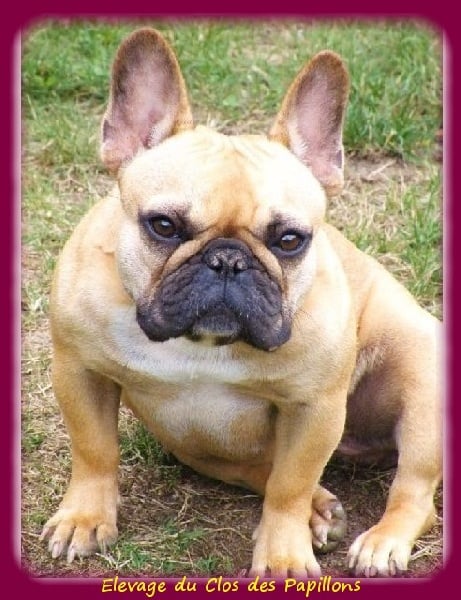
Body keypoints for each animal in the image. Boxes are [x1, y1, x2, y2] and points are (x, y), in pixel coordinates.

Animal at [40, 28, 442, 578]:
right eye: (163, 226)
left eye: (290, 240)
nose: (228, 260)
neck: (200, 344)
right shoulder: (79, 370)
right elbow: (94, 450)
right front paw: (84, 517)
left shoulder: (313, 408)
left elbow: (290, 486)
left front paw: (284, 557)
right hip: (198, 446)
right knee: (258, 469)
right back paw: (321, 510)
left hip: (423, 385)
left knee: (415, 492)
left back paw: (382, 541)